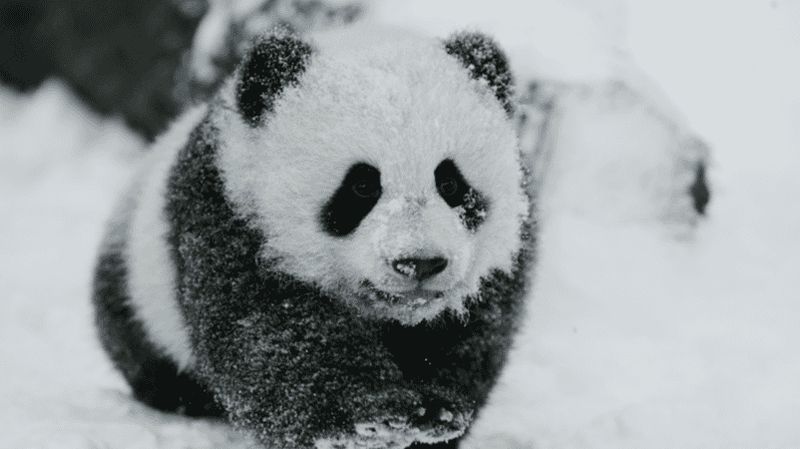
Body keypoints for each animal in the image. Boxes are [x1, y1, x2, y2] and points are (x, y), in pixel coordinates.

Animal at [92, 27, 534, 449]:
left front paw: (436, 411)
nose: (419, 263)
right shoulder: (228, 215)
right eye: (361, 186)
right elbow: (271, 334)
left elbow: (472, 339)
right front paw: (373, 415)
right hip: (137, 293)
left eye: (451, 183)